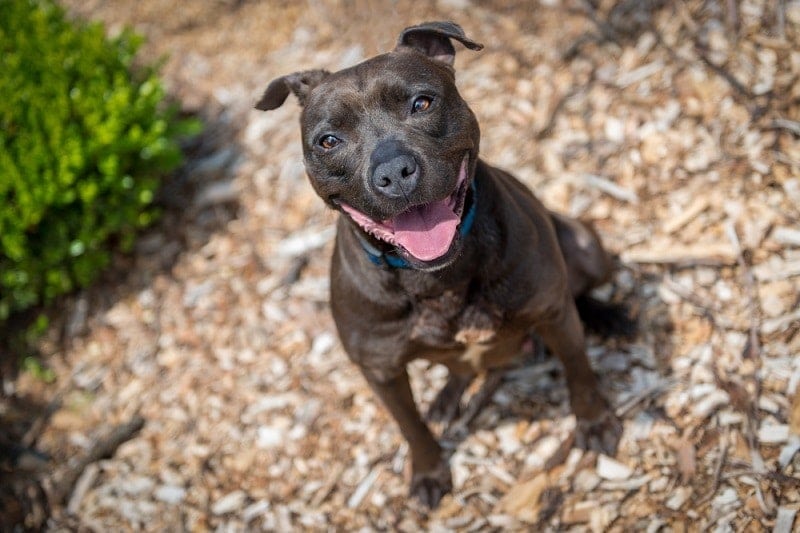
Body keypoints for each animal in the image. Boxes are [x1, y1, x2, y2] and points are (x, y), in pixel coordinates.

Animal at [256, 20, 632, 508]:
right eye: (329, 141)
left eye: (422, 103)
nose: (394, 172)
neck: (436, 279)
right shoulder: (381, 370)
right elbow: (410, 426)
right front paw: (428, 471)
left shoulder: (552, 311)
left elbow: (579, 371)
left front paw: (595, 422)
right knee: (459, 369)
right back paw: (446, 399)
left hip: (586, 246)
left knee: (579, 294)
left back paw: (609, 317)